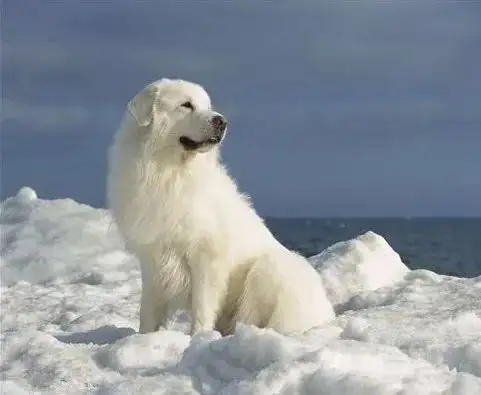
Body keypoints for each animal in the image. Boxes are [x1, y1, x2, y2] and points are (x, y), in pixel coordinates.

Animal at [107, 79, 334, 336]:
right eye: (186, 105)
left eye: (208, 106)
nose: (221, 121)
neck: (168, 171)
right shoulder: (152, 258)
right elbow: (148, 310)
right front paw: (145, 338)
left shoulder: (206, 254)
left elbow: (203, 306)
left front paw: (199, 337)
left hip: (268, 269)